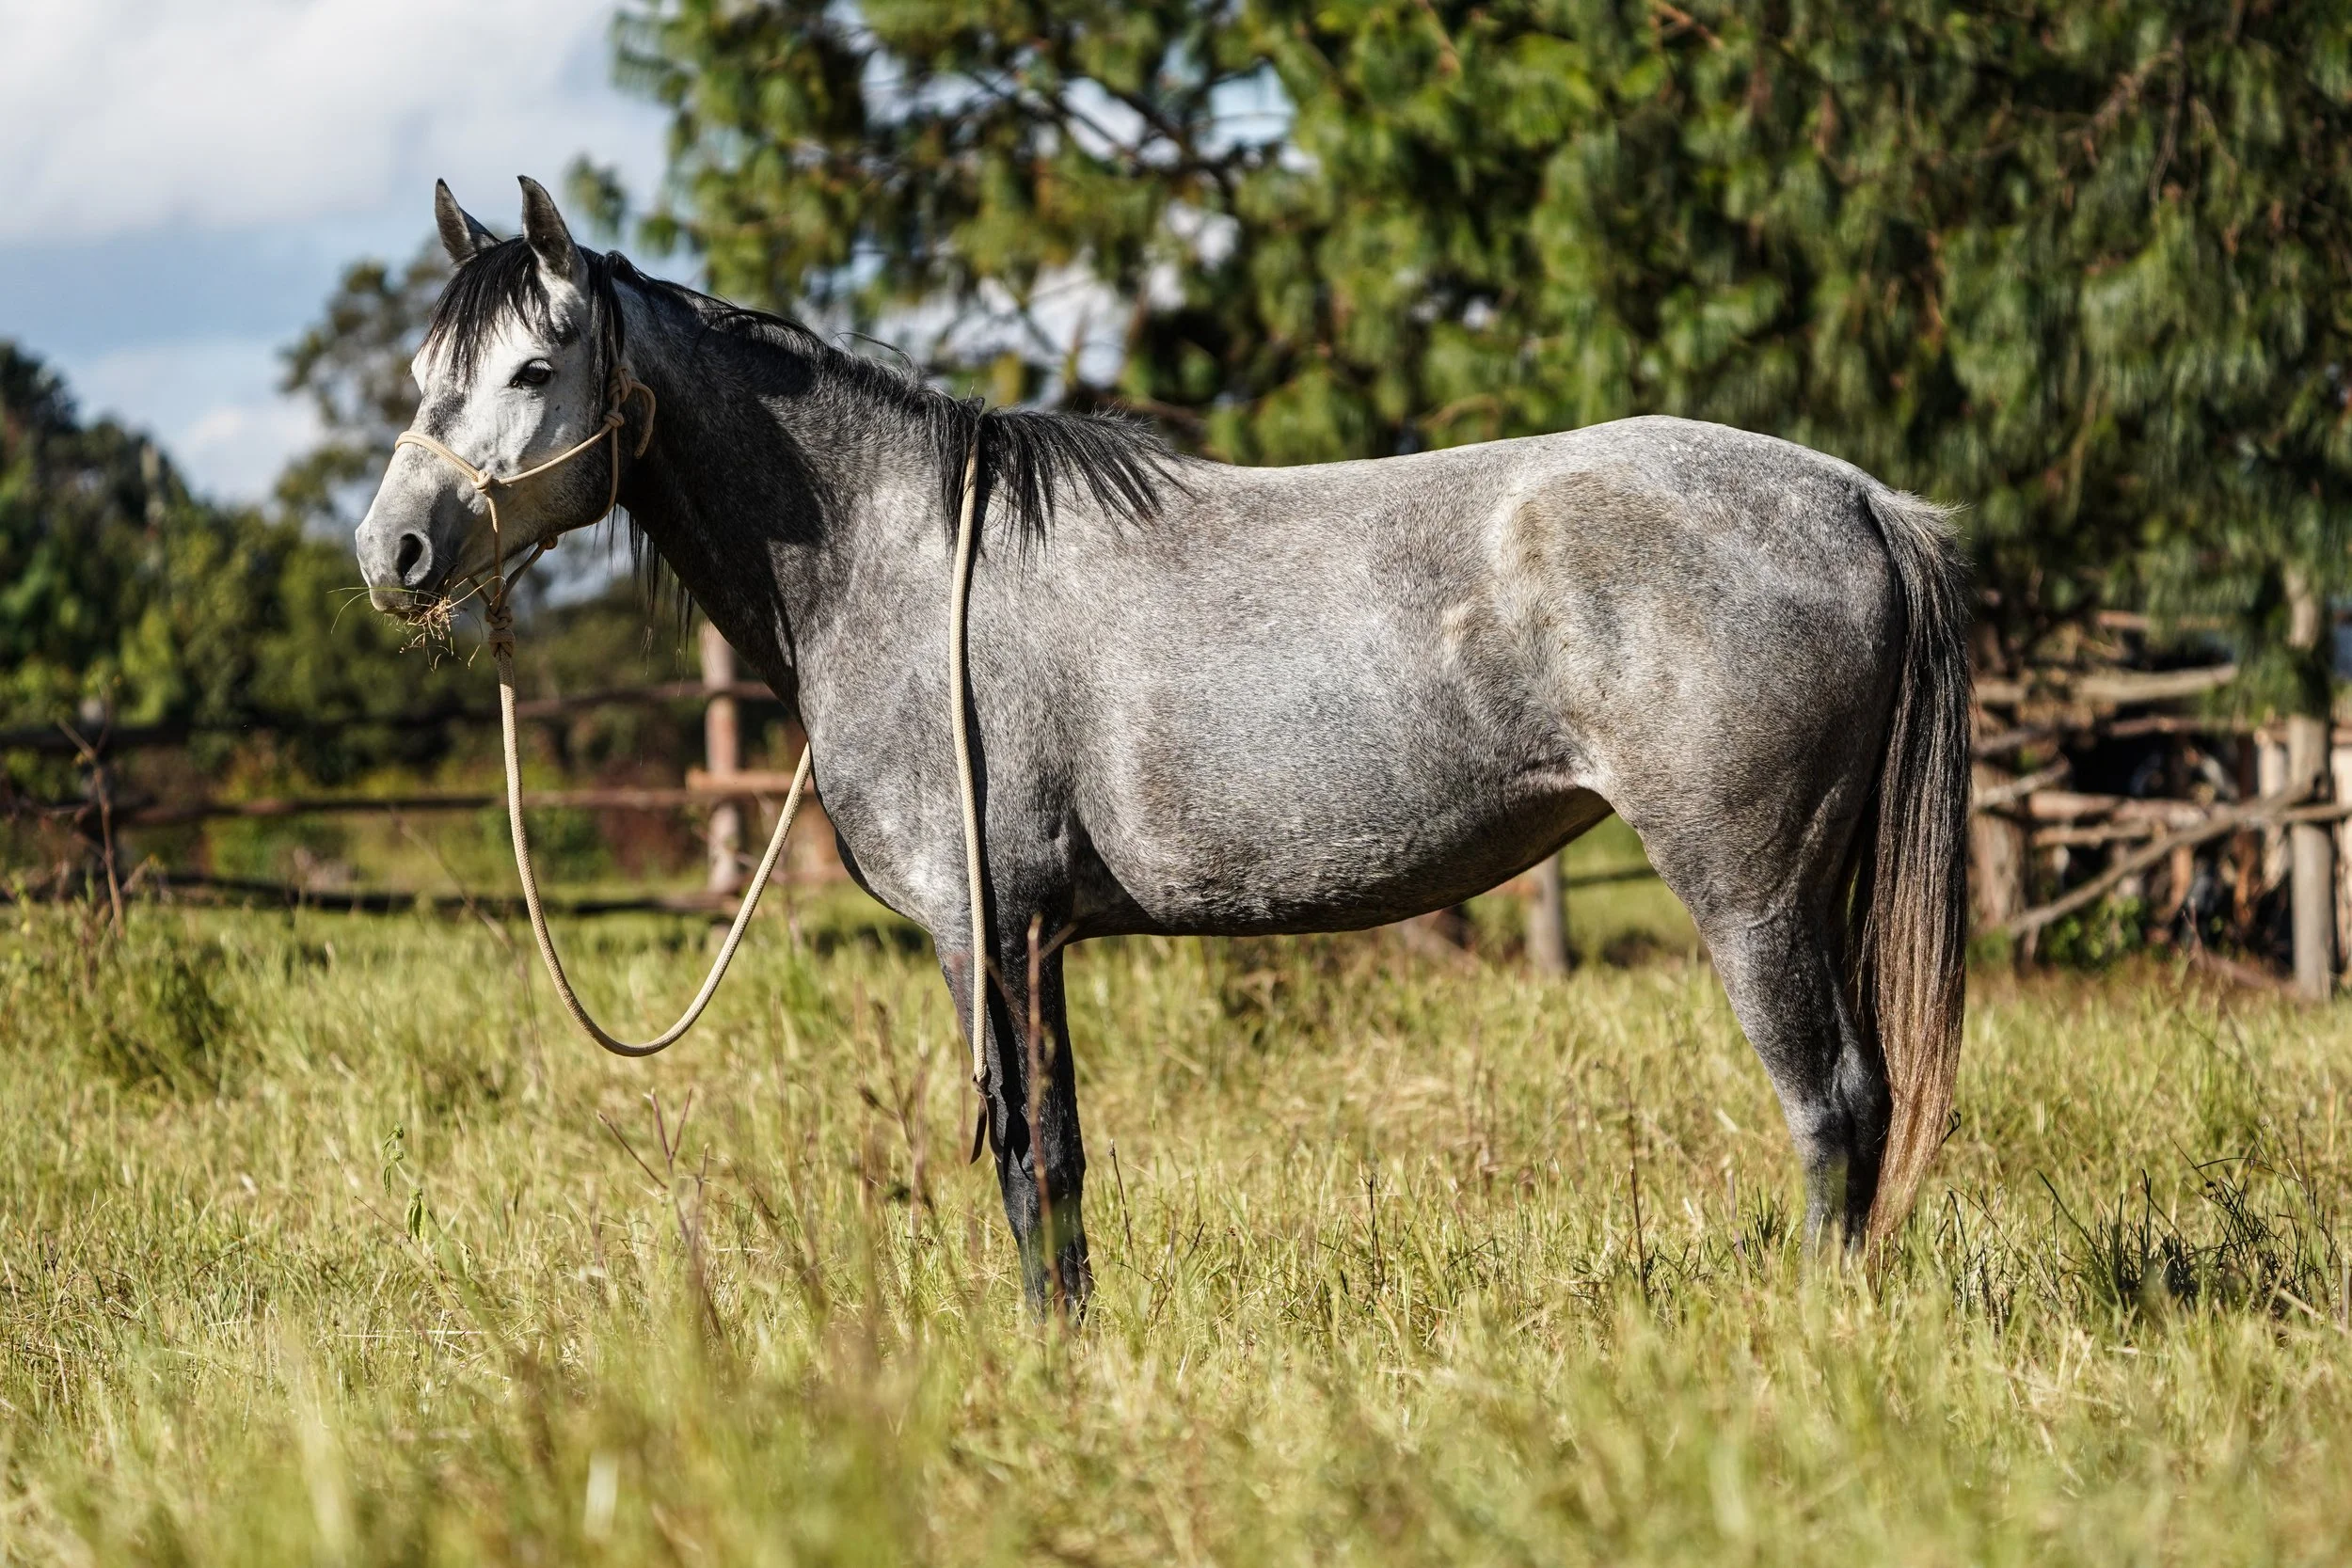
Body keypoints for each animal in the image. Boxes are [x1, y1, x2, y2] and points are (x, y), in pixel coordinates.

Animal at [357, 178, 1970, 1311]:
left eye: (534, 368)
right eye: (427, 368)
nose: (396, 551)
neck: (899, 555)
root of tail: (1860, 499)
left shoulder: (984, 928)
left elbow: (1024, 1157)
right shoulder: (1040, 937)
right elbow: (1061, 1160)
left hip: (1749, 892)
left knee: (1831, 1106)